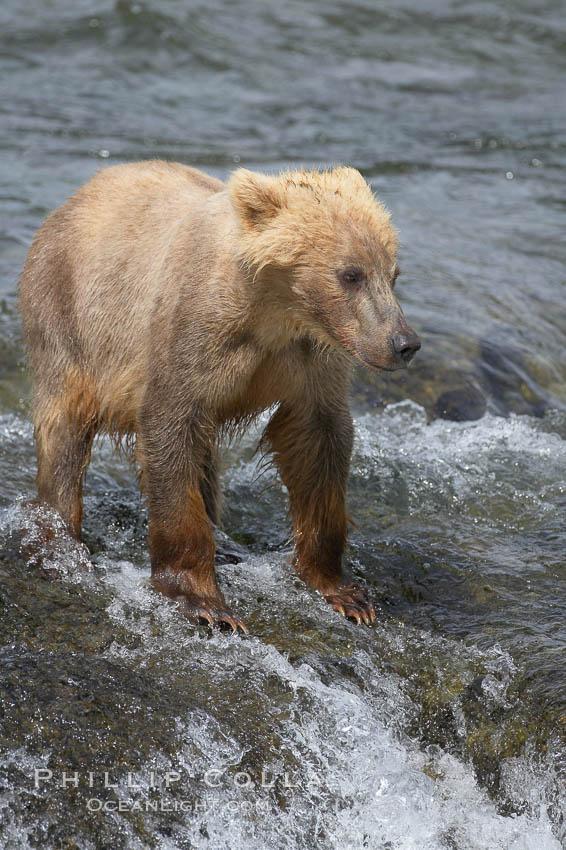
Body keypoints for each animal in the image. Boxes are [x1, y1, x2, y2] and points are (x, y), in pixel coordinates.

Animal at [17, 162, 422, 632]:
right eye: (350, 274)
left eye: (392, 274)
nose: (404, 343)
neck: (273, 312)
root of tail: (76, 195)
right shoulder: (194, 334)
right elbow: (170, 429)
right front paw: (205, 603)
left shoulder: (310, 361)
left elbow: (318, 443)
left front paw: (344, 592)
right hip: (68, 316)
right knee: (64, 429)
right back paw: (57, 540)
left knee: (206, 458)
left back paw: (226, 543)